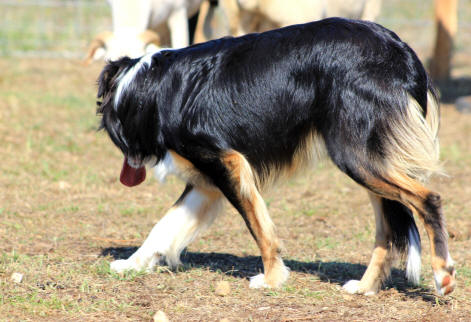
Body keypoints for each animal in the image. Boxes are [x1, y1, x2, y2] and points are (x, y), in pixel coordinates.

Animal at [97, 17, 458, 294]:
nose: (128, 170)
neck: (148, 89)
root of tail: (403, 53)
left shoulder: (227, 163)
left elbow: (259, 228)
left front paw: (271, 279)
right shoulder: (206, 181)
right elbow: (163, 226)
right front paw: (131, 263)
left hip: (357, 158)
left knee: (428, 199)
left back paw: (442, 274)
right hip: (370, 163)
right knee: (388, 232)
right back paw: (365, 287)